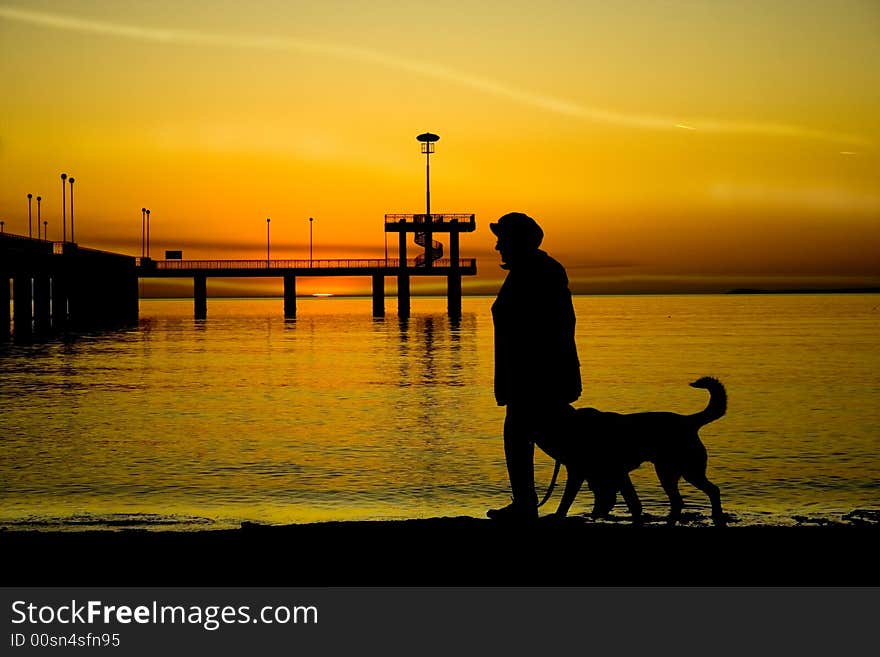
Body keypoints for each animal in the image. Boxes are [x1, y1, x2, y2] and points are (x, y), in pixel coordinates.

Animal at [536, 376, 728, 524]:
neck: (568, 423)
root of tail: (689, 421)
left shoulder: (586, 474)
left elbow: (566, 501)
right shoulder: (610, 476)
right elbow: (627, 501)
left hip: (685, 471)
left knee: (712, 491)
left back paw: (716, 515)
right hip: (671, 472)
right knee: (680, 500)